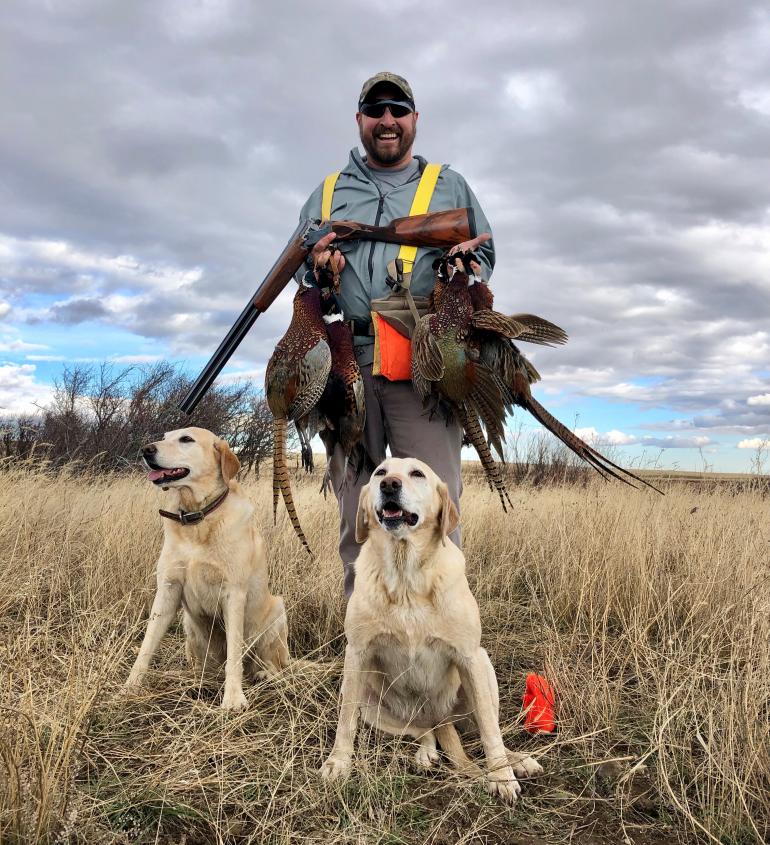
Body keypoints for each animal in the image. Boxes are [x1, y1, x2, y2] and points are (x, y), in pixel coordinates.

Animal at [126, 426, 288, 708]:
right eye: (165, 437)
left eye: (186, 439)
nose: (146, 449)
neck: (196, 518)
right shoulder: (168, 590)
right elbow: (147, 644)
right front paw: (130, 686)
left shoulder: (233, 593)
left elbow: (234, 653)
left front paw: (233, 697)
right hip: (190, 628)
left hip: (278, 611)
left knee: (271, 665)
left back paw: (265, 675)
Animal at [318, 458, 540, 800]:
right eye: (380, 473)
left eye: (417, 474)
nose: (389, 485)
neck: (406, 574)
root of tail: (439, 716)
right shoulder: (356, 654)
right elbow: (345, 722)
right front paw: (338, 763)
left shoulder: (469, 656)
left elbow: (491, 731)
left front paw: (501, 775)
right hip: (368, 699)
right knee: (423, 731)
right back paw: (426, 753)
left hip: (483, 667)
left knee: (483, 725)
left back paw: (517, 760)